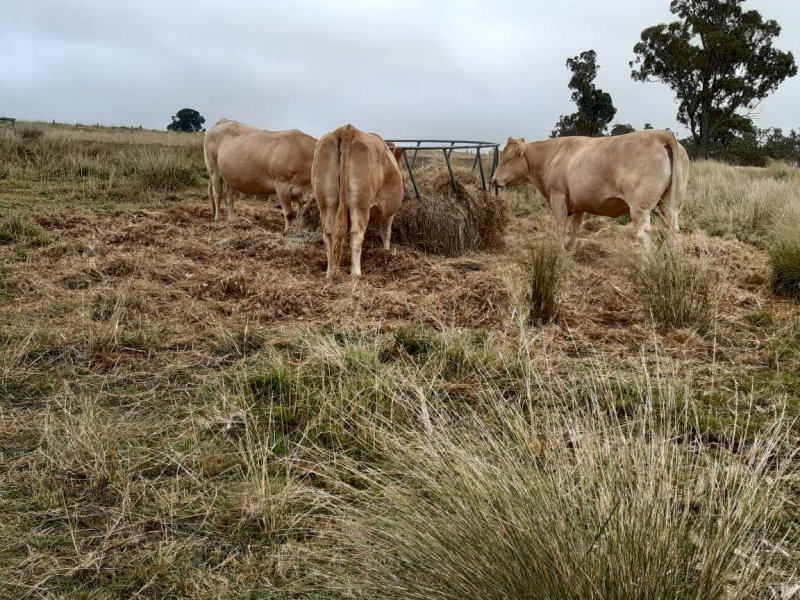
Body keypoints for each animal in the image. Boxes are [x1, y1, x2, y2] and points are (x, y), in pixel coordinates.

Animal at [312, 124, 404, 277]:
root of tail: (347, 129)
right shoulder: (390, 212)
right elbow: (386, 233)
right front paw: (387, 252)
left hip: (326, 201)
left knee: (329, 234)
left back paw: (330, 273)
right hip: (360, 204)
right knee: (356, 235)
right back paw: (356, 273)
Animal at [491, 129, 689, 250]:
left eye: (508, 159)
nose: (493, 180)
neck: (553, 155)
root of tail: (660, 133)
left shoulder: (558, 195)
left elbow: (561, 226)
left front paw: (559, 251)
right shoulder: (580, 203)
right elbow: (575, 228)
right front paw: (570, 250)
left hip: (640, 206)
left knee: (644, 233)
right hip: (672, 203)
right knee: (672, 229)